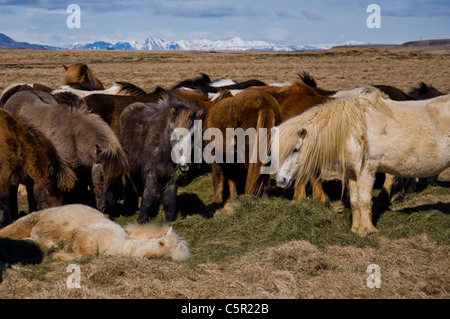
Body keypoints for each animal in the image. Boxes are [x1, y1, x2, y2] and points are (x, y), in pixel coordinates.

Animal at [0, 205, 191, 262]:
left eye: (168, 256)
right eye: (161, 242)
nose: (151, 257)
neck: (117, 242)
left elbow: (85, 255)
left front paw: (55, 253)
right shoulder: (84, 234)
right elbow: (88, 254)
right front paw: (55, 254)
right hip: (29, 220)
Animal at [118, 92, 206, 222]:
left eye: (193, 134)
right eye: (173, 130)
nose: (184, 164)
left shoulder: (172, 178)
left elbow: (169, 201)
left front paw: (170, 222)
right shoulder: (152, 174)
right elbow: (148, 199)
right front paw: (140, 221)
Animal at [274, 87, 450, 238]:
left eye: (295, 149)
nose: (281, 180)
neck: (351, 128)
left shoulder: (366, 170)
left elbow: (364, 200)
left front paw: (365, 230)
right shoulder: (352, 172)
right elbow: (354, 201)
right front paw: (354, 228)